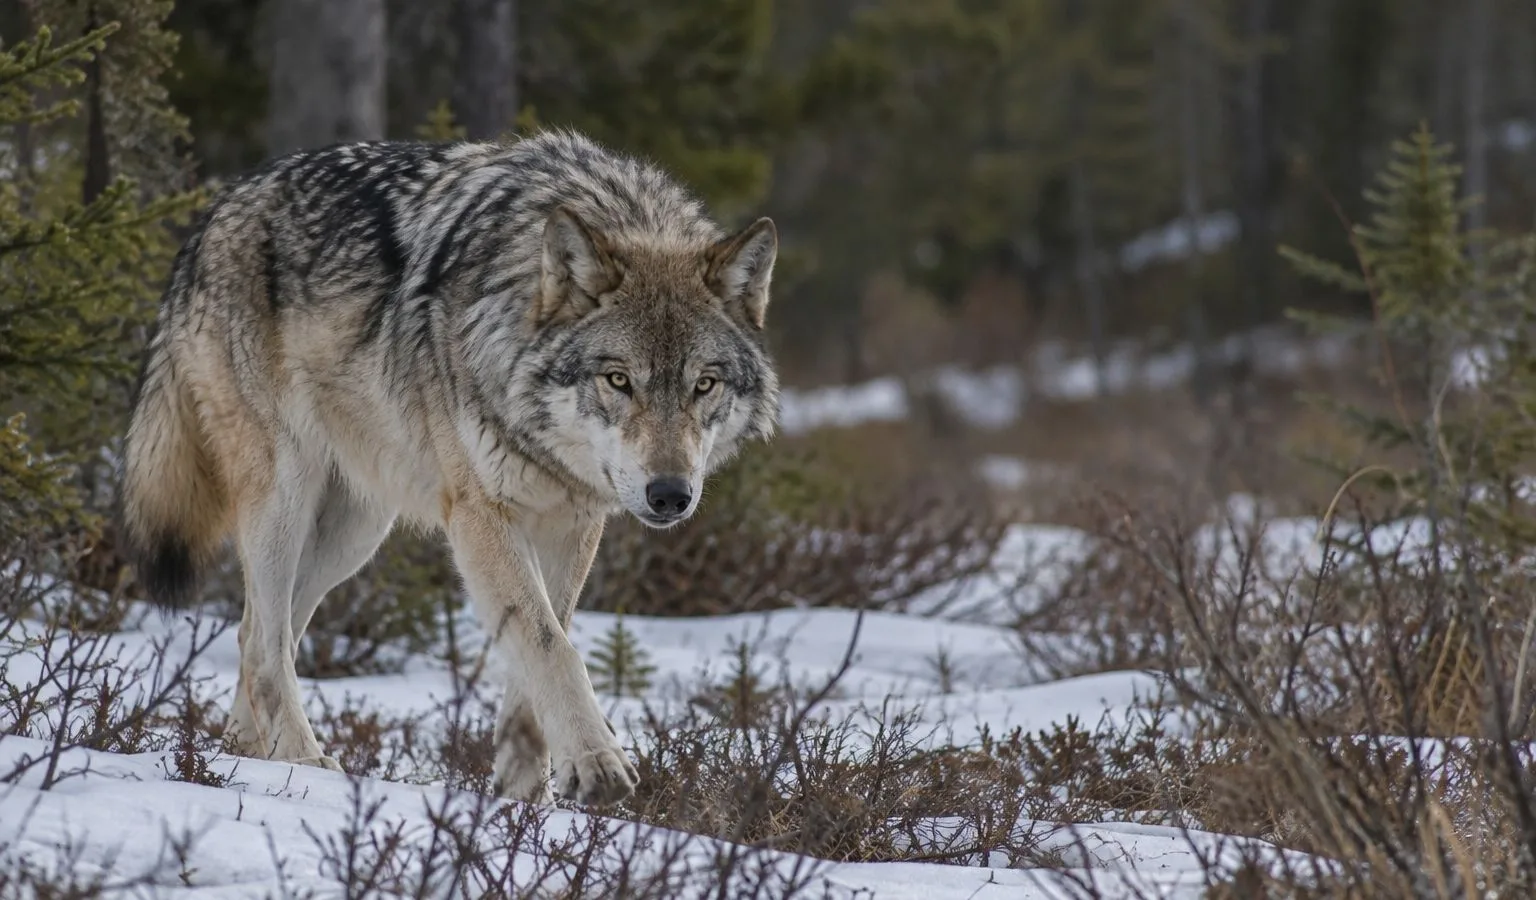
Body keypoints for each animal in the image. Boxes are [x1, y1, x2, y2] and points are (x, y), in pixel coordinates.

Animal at [117, 128, 780, 806]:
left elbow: (544, 643)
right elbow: (552, 646)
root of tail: (213, 214)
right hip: (285, 497)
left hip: (352, 535)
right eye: (619, 380)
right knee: (264, 644)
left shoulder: (572, 523)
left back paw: (248, 757)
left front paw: (525, 797)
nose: (670, 494)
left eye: (704, 385)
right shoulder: (481, 516)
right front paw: (595, 765)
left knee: (255, 631)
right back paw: (302, 762)